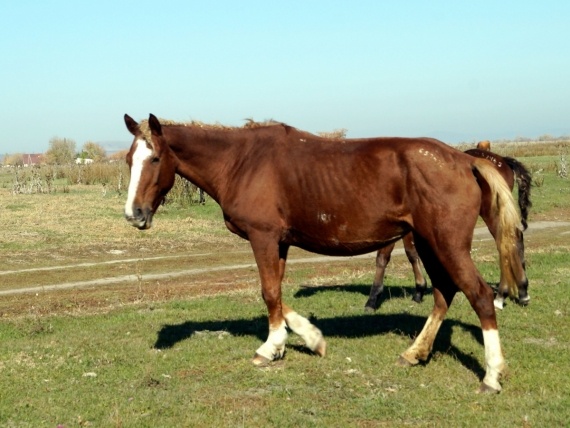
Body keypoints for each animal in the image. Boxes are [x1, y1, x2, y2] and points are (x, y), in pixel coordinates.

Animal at [366, 150, 532, 310]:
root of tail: (503, 161)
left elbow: (383, 257)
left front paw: (373, 298)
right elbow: (411, 254)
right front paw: (419, 290)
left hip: (492, 213)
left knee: (506, 244)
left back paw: (502, 295)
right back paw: (522, 291)